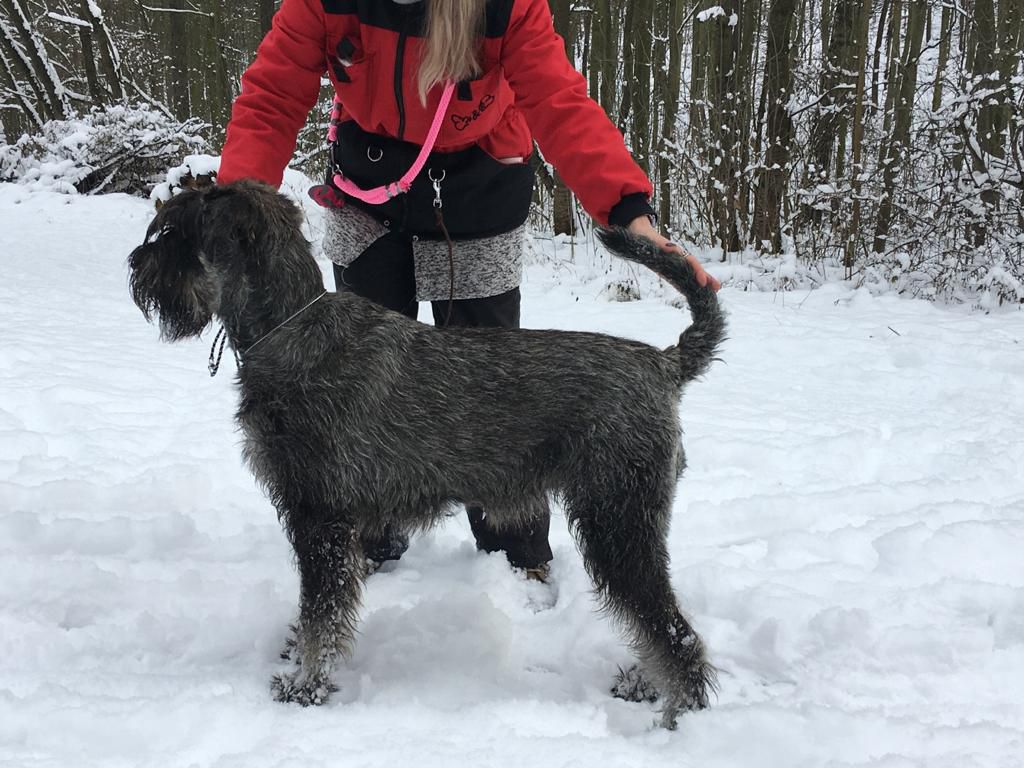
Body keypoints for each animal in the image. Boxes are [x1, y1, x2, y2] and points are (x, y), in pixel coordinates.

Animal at [128, 179, 729, 729]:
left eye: (175, 231)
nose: (136, 264)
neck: (290, 329)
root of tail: (664, 364)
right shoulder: (319, 521)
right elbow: (317, 607)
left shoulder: (319, 517)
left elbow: (322, 611)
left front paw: (306, 686)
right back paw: (647, 686)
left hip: (618, 521)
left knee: (668, 625)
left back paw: (676, 711)